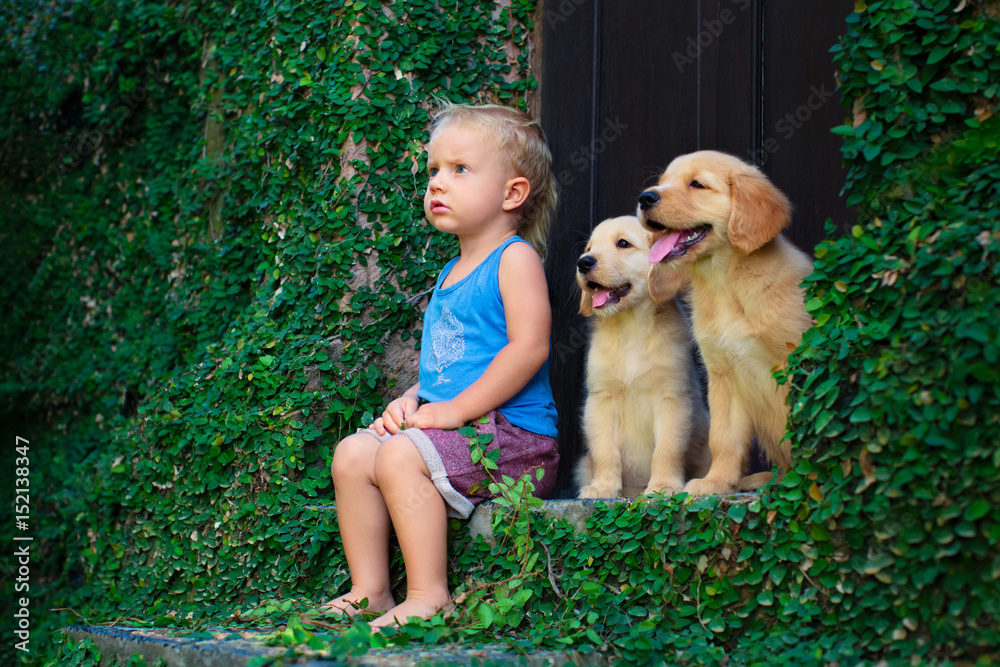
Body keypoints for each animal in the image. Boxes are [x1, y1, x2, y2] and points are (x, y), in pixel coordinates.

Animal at [572, 217, 712, 498]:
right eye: (589, 248)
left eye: (623, 244)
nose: (584, 262)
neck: (631, 327)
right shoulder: (601, 400)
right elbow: (605, 451)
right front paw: (603, 487)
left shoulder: (672, 398)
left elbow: (667, 449)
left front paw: (663, 486)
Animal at [640, 151, 812, 496]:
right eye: (663, 181)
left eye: (697, 184)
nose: (645, 197)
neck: (725, 285)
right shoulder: (723, 374)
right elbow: (723, 438)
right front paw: (715, 483)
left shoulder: (796, 363)